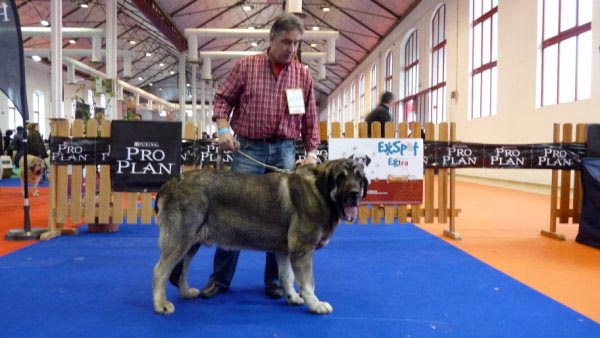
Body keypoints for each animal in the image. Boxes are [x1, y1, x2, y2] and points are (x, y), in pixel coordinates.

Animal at [152, 158, 368, 314]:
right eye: (340, 177)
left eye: (359, 177)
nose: (355, 194)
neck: (321, 191)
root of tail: (169, 184)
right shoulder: (302, 250)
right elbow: (308, 283)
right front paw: (315, 304)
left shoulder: (286, 251)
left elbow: (287, 276)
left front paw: (292, 297)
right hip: (180, 239)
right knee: (160, 271)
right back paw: (161, 304)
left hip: (191, 243)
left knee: (182, 269)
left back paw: (186, 292)